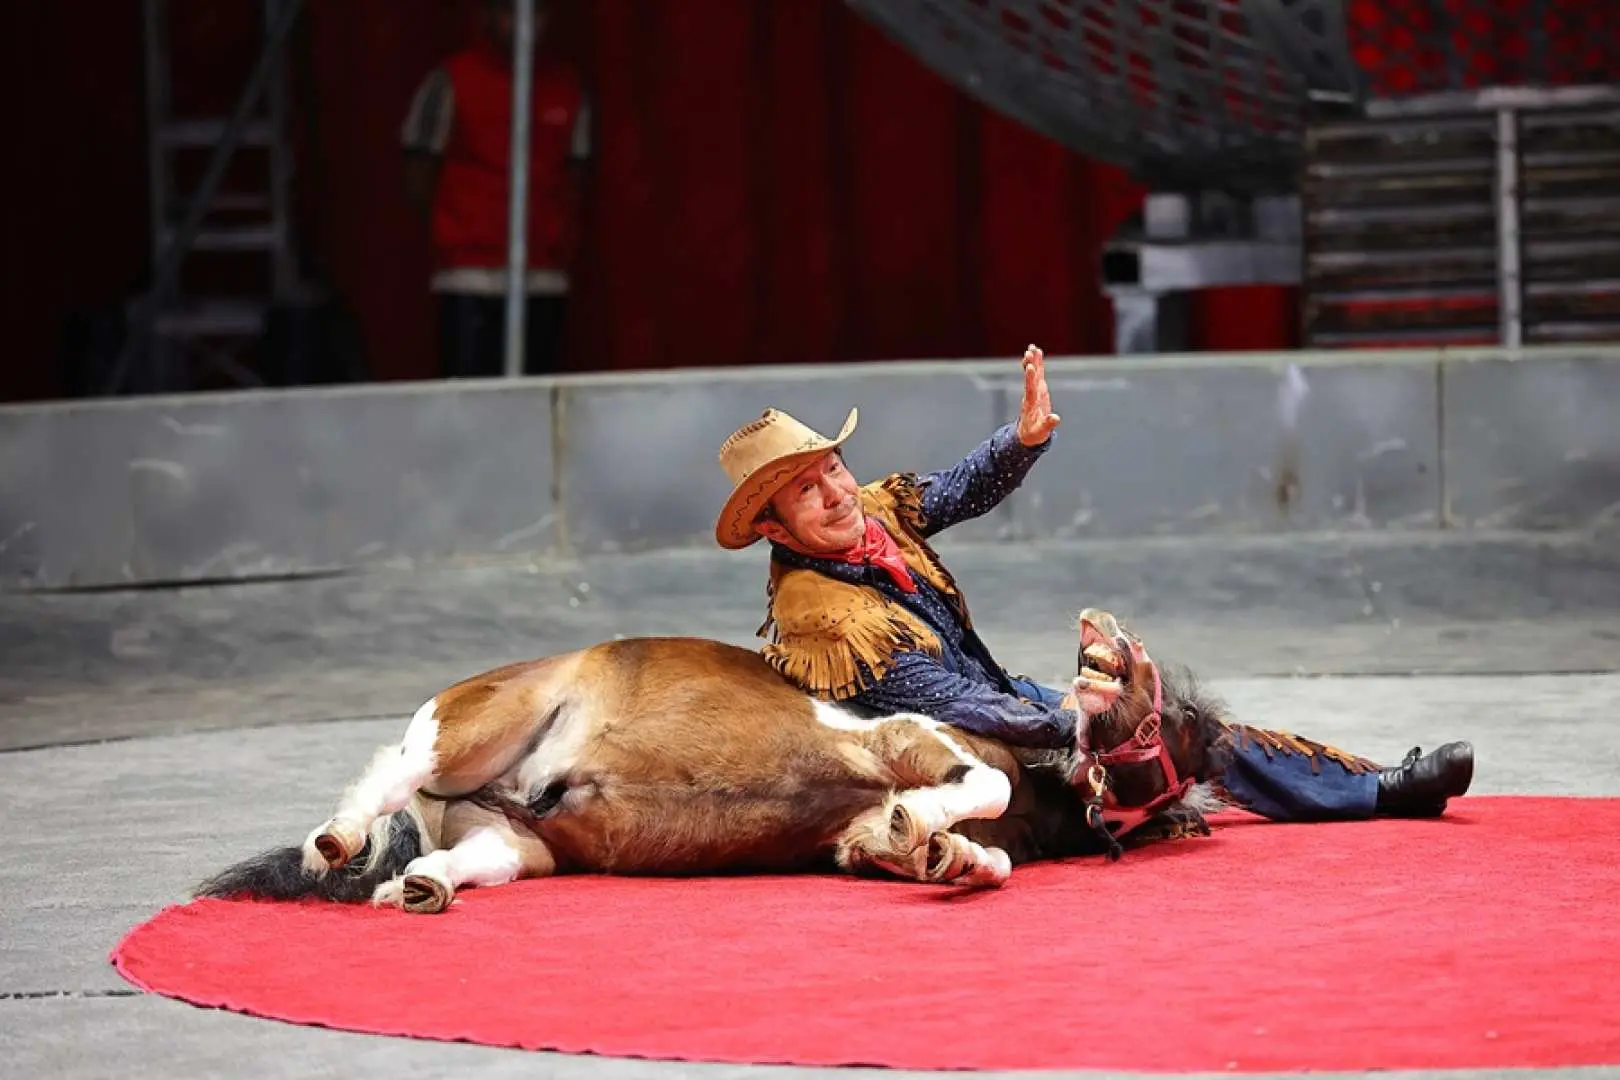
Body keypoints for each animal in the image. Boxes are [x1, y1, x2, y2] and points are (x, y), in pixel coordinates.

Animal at [196, 609, 1236, 913]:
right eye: (1147, 692)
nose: (1103, 633)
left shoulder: (857, 833)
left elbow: (930, 846)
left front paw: (950, 856)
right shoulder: (903, 739)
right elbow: (968, 786)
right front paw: (939, 829)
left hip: (515, 842)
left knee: (461, 855)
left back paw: (416, 886)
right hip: (478, 723)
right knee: (397, 768)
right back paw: (336, 842)